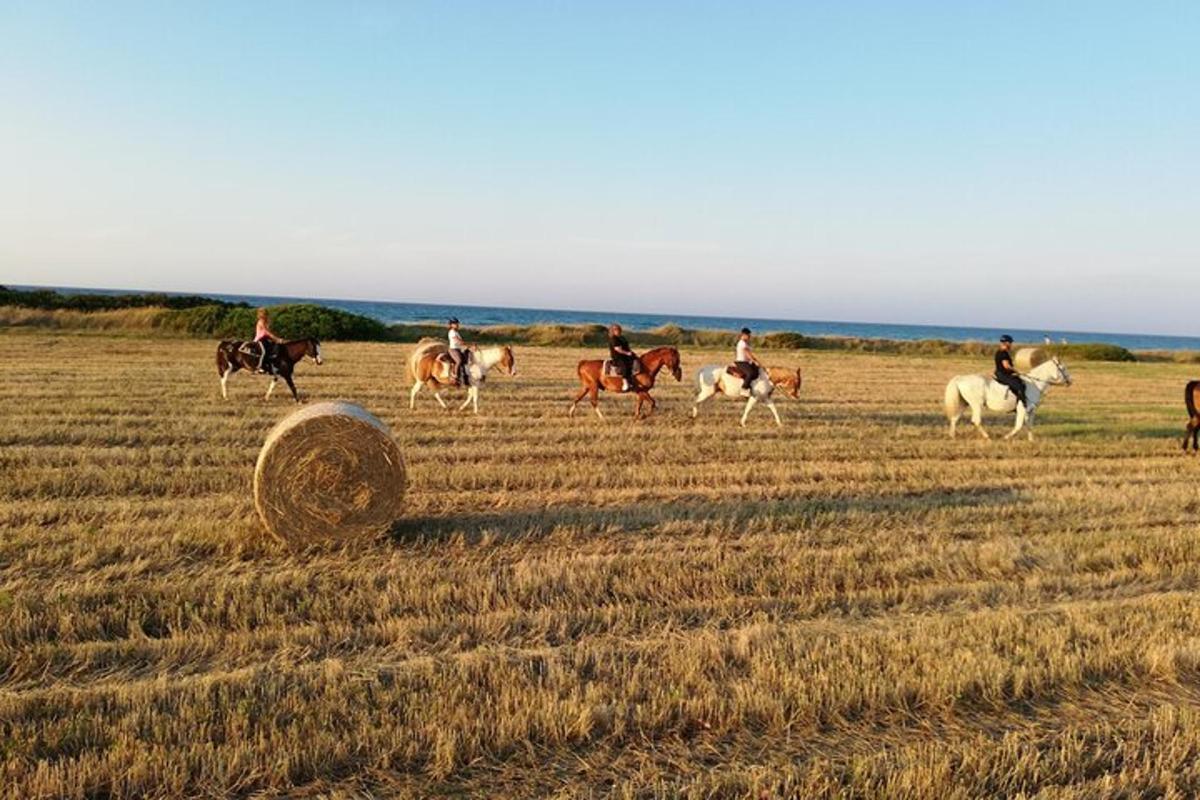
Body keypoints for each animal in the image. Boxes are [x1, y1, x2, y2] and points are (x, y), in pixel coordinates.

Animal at [940, 359, 1075, 441]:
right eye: (1063, 368)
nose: (1070, 381)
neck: (1034, 384)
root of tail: (960, 378)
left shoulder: (1031, 410)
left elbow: (1030, 425)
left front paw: (1031, 440)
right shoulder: (1022, 409)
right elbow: (1019, 426)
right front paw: (1006, 437)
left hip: (965, 404)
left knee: (955, 418)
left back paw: (952, 436)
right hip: (976, 405)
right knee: (976, 421)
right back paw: (987, 437)